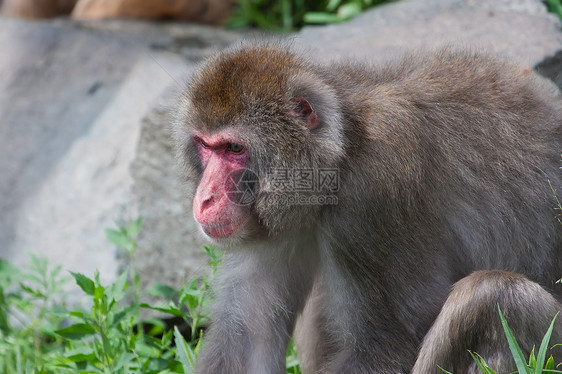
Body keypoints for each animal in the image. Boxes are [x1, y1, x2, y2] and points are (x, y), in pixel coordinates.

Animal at [173, 44, 556, 374]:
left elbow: (384, 348)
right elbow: (249, 338)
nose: (205, 198)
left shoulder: (372, 199)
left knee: (492, 298)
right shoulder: (270, 218)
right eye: (205, 145)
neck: (342, 153)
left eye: (234, 148)